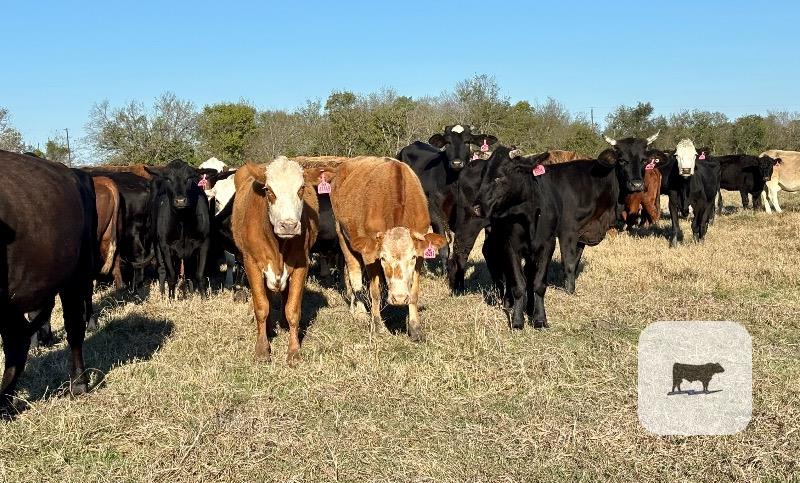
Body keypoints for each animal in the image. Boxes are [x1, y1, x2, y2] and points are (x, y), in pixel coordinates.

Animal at [146, 160, 218, 298]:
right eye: (168, 179)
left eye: (189, 178)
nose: (180, 201)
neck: (183, 221)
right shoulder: (165, 246)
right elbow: (172, 276)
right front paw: (170, 299)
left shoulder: (204, 242)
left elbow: (199, 275)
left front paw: (203, 298)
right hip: (156, 242)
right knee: (162, 270)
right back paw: (162, 294)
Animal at [232, 156, 319, 364]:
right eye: (269, 190)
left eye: (301, 188)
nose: (288, 225)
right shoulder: (251, 264)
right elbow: (261, 306)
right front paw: (262, 349)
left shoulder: (301, 264)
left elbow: (293, 310)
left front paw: (294, 351)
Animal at [328, 157, 447, 341]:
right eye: (383, 258)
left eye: (412, 257)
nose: (399, 298)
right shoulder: (370, 255)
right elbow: (374, 292)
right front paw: (378, 326)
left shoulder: (420, 254)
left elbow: (414, 292)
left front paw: (415, 328)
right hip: (341, 233)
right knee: (354, 274)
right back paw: (360, 312)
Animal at [396, 125, 498, 272]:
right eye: (448, 143)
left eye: (467, 142)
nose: (456, 163)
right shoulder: (436, 215)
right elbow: (444, 248)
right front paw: (445, 273)